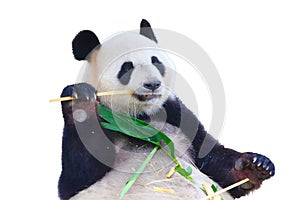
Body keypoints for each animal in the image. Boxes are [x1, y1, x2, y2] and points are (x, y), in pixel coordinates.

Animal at [57, 19, 276, 200]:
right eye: (127, 67)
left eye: (156, 61)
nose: (153, 84)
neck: (139, 117)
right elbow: (76, 178)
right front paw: (80, 100)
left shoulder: (176, 114)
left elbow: (213, 162)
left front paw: (256, 166)